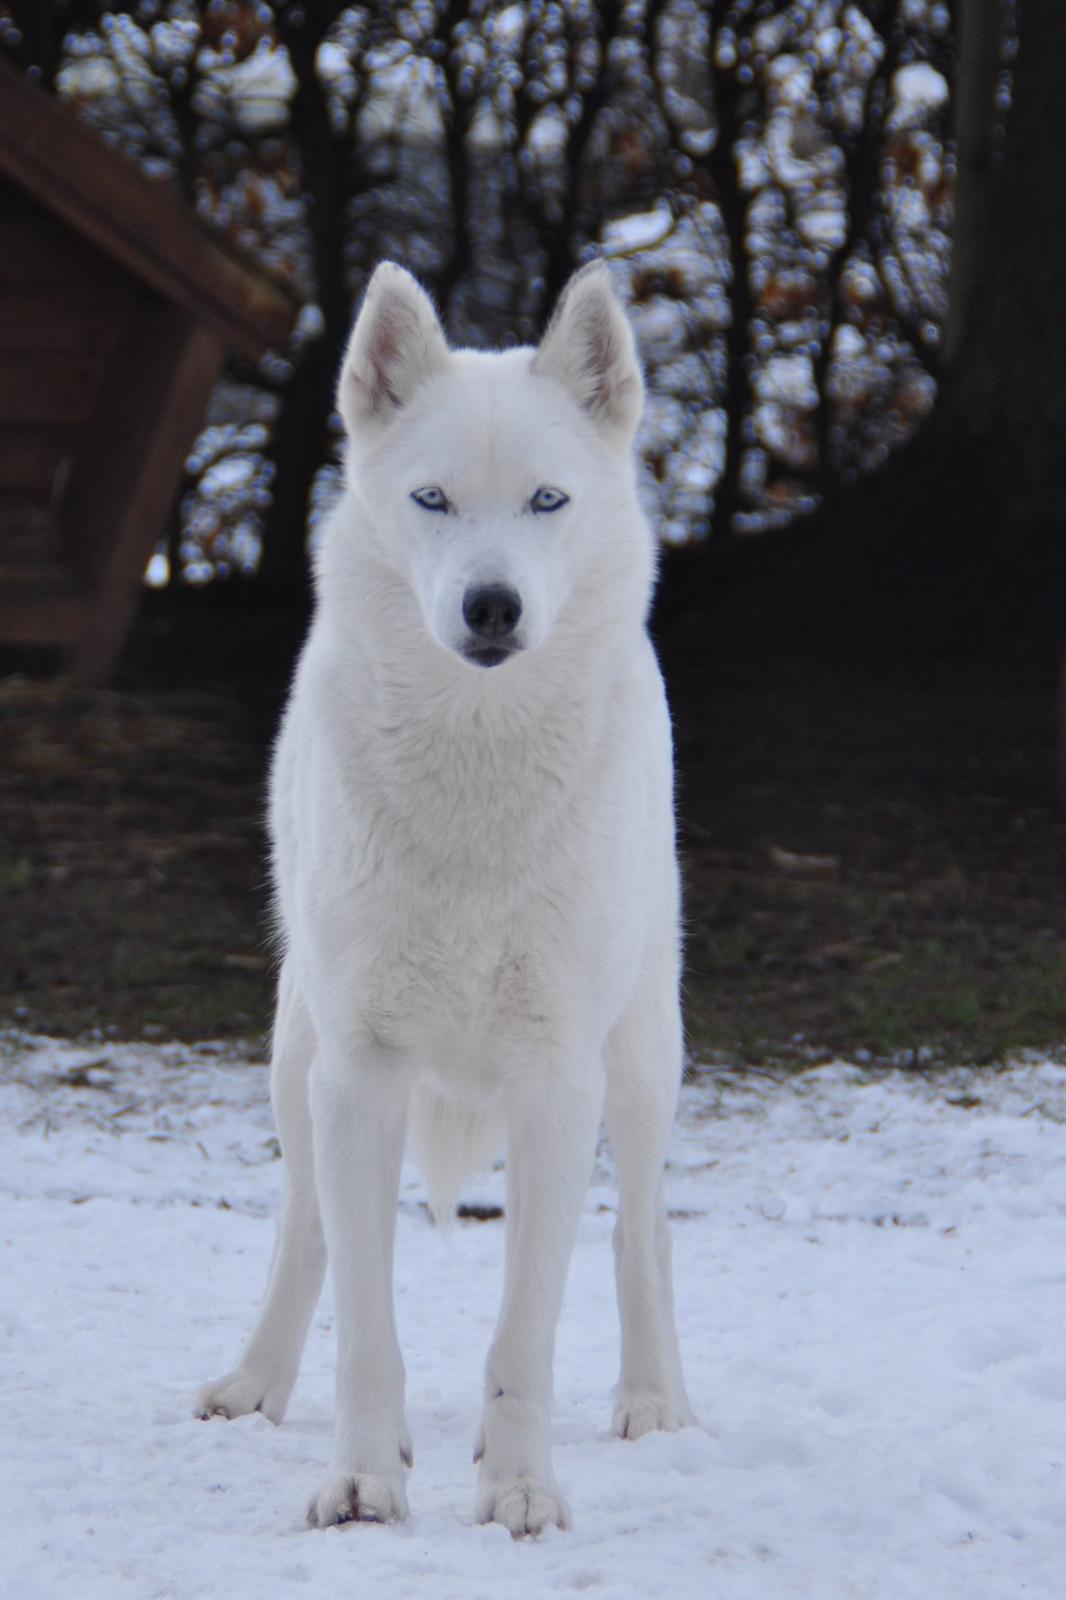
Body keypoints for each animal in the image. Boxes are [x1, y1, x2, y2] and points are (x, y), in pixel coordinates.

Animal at [195, 256, 694, 1529]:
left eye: (546, 502)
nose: (492, 607)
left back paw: (654, 1401)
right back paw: (257, 1381)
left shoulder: (556, 1080)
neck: (476, 767)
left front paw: (518, 1492)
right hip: (295, 1061)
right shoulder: (360, 1072)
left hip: (640, 1062)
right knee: (305, 1232)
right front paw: (366, 1480)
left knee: (641, 1232)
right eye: (431, 500)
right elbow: (365, 1325)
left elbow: (526, 1335)